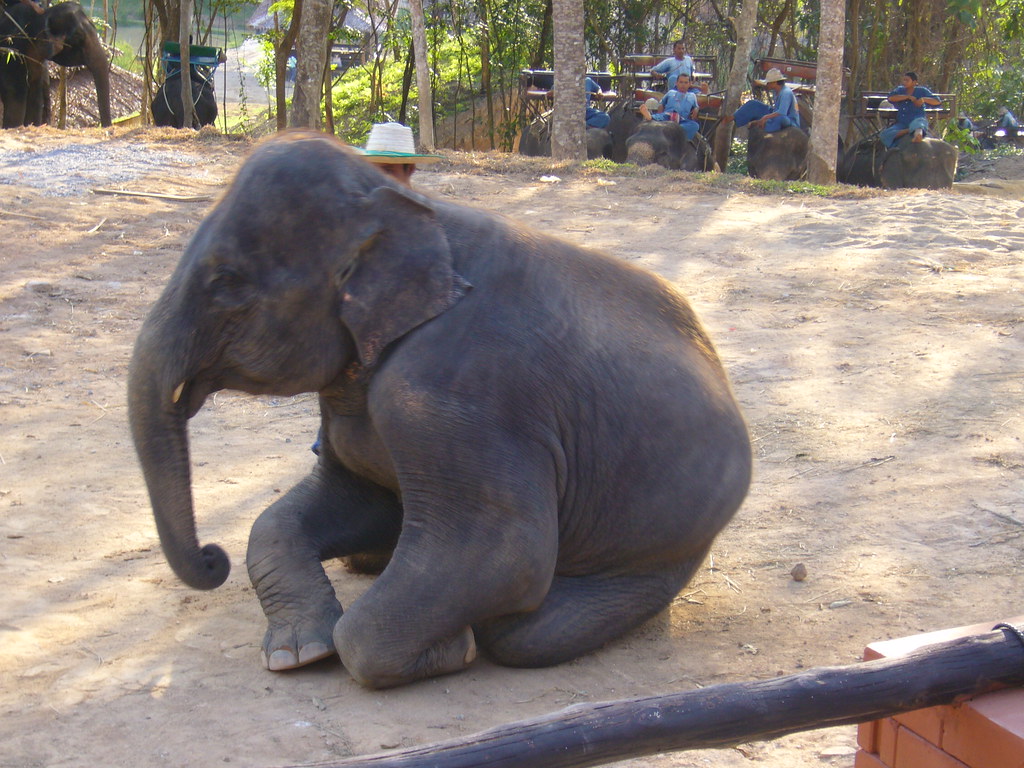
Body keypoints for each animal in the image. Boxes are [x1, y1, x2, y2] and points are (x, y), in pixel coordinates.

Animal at [128, 131, 752, 689]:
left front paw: (452, 651)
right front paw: (297, 654)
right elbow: (313, 510)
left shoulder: (454, 392)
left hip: (671, 540)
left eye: (227, 283)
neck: (408, 212)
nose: (212, 557)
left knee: (526, 633)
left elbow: (508, 553)